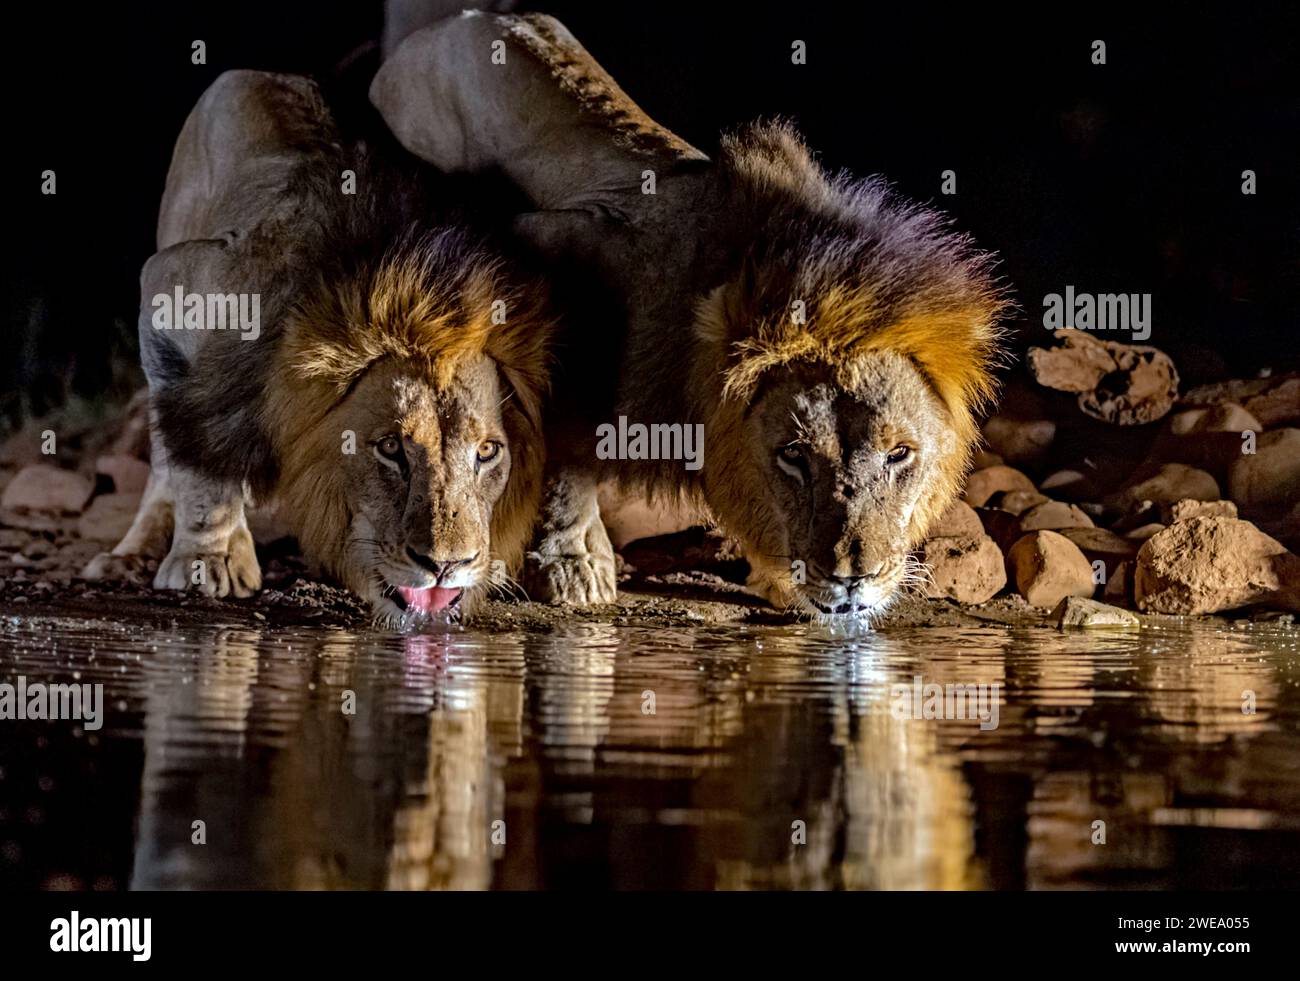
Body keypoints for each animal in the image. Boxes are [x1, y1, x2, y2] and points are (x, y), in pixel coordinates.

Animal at [84, 69, 553, 625]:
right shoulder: (175, 289)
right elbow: (199, 457)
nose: (446, 566)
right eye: (390, 448)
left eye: (487, 452)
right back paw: (133, 554)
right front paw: (211, 560)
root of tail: (267, 72)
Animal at [372, 13, 1006, 620]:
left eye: (899, 455)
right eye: (794, 456)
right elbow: (566, 459)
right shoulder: (558, 249)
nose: (854, 579)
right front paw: (572, 566)